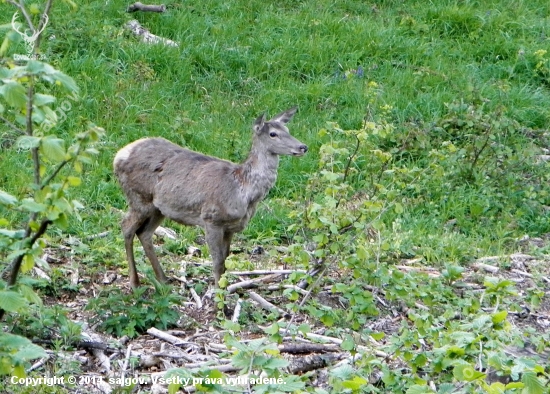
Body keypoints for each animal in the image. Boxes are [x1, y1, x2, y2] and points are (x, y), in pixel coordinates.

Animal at [113, 107, 308, 290]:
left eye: (287, 129)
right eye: (273, 134)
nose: (303, 147)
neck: (243, 189)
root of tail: (117, 156)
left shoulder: (231, 227)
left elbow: (225, 259)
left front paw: (225, 288)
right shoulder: (211, 218)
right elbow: (217, 261)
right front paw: (217, 293)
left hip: (158, 208)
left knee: (144, 233)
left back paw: (163, 279)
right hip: (139, 197)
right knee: (126, 227)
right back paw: (135, 282)